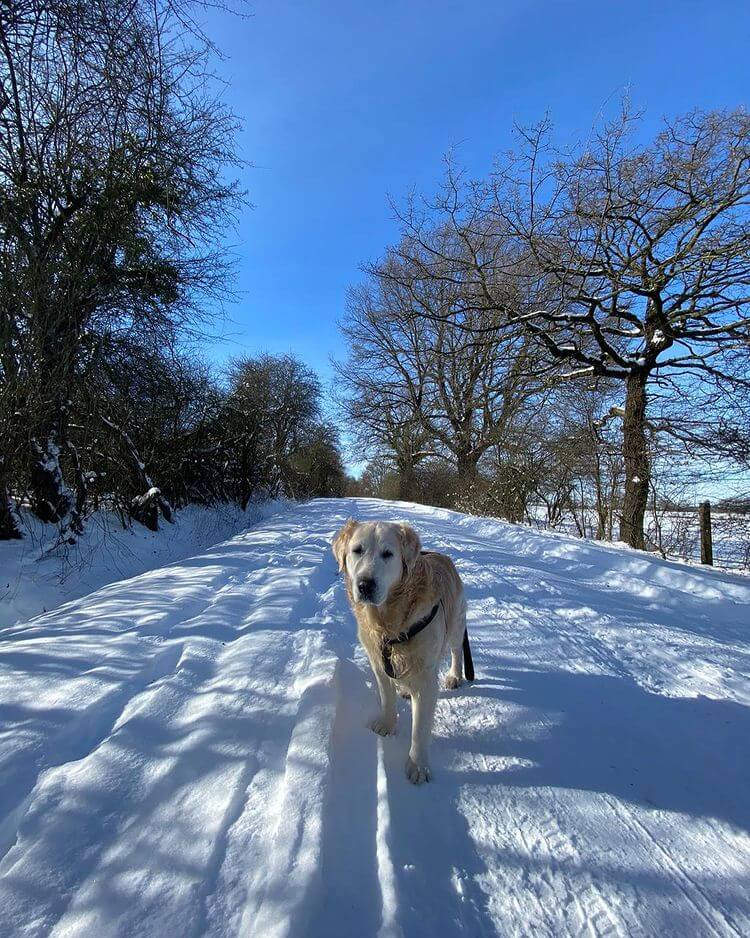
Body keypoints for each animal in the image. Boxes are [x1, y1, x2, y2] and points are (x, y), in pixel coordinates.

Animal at [332, 520, 472, 784]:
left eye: (388, 554)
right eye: (357, 550)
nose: (365, 585)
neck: (389, 619)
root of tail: (442, 556)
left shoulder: (426, 678)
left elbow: (420, 728)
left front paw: (417, 766)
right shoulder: (378, 663)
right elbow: (387, 698)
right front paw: (387, 726)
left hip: (456, 624)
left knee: (457, 650)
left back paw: (454, 676)